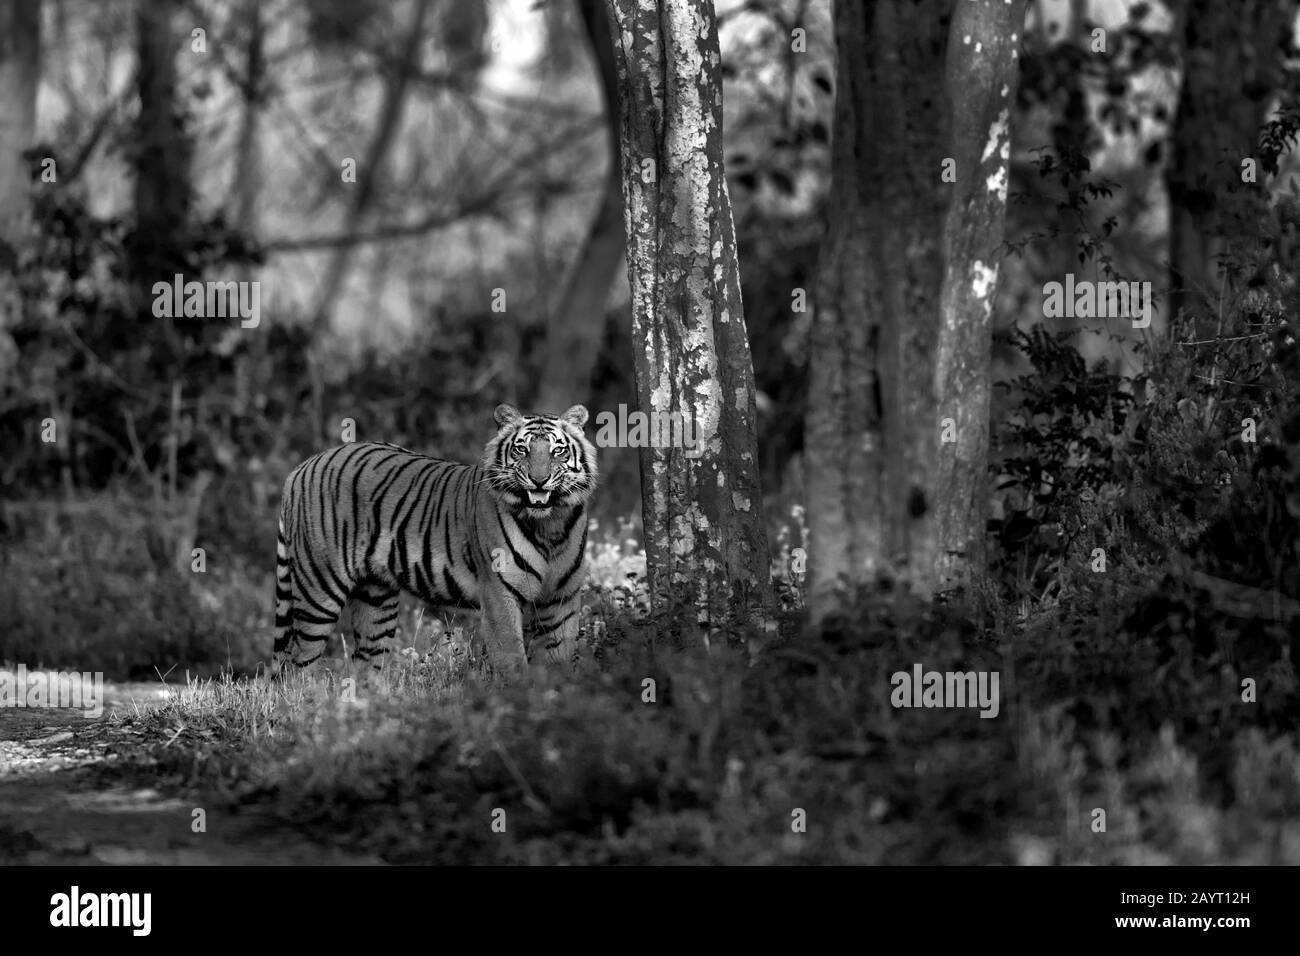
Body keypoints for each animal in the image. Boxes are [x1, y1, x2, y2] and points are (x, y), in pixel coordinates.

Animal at [276, 403, 600, 671]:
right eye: (522, 450)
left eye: (557, 451)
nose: (539, 480)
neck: (550, 525)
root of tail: (302, 466)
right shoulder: (499, 594)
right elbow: (512, 659)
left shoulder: (562, 598)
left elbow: (558, 658)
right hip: (319, 589)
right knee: (296, 661)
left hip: (375, 598)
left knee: (366, 661)